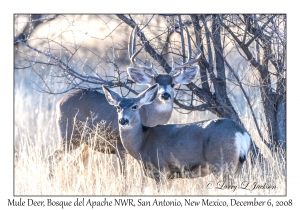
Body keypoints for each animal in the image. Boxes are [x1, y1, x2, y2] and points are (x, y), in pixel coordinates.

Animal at [103, 84, 251, 185]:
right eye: (118, 107)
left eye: (134, 106)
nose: (123, 120)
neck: (142, 144)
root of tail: (241, 132)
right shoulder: (170, 175)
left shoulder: (160, 169)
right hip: (236, 165)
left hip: (222, 163)